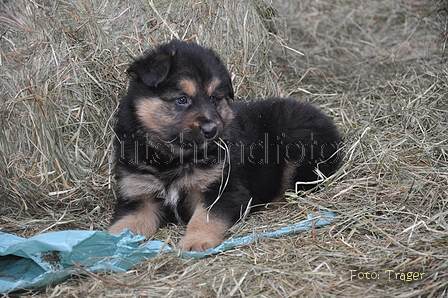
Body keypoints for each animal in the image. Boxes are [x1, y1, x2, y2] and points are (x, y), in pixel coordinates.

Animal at [109, 38, 344, 250]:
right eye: (182, 99)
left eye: (214, 98)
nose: (211, 130)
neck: (172, 157)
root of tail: (328, 122)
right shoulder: (140, 198)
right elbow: (122, 226)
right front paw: (105, 248)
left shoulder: (223, 189)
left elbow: (205, 218)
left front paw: (196, 241)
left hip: (296, 144)